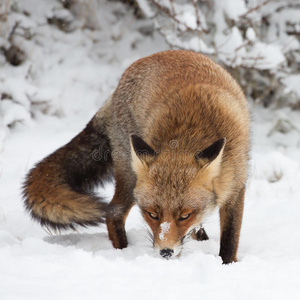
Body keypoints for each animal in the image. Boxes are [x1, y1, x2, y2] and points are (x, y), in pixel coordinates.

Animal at [23, 50, 250, 264]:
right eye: (152, 214)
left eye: (185, 215)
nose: (165, 252)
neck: (190, 133)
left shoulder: (235, 187)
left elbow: (230, 238)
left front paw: (226, 263)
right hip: (129, 177)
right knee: (113, 212)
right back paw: (123, 252)